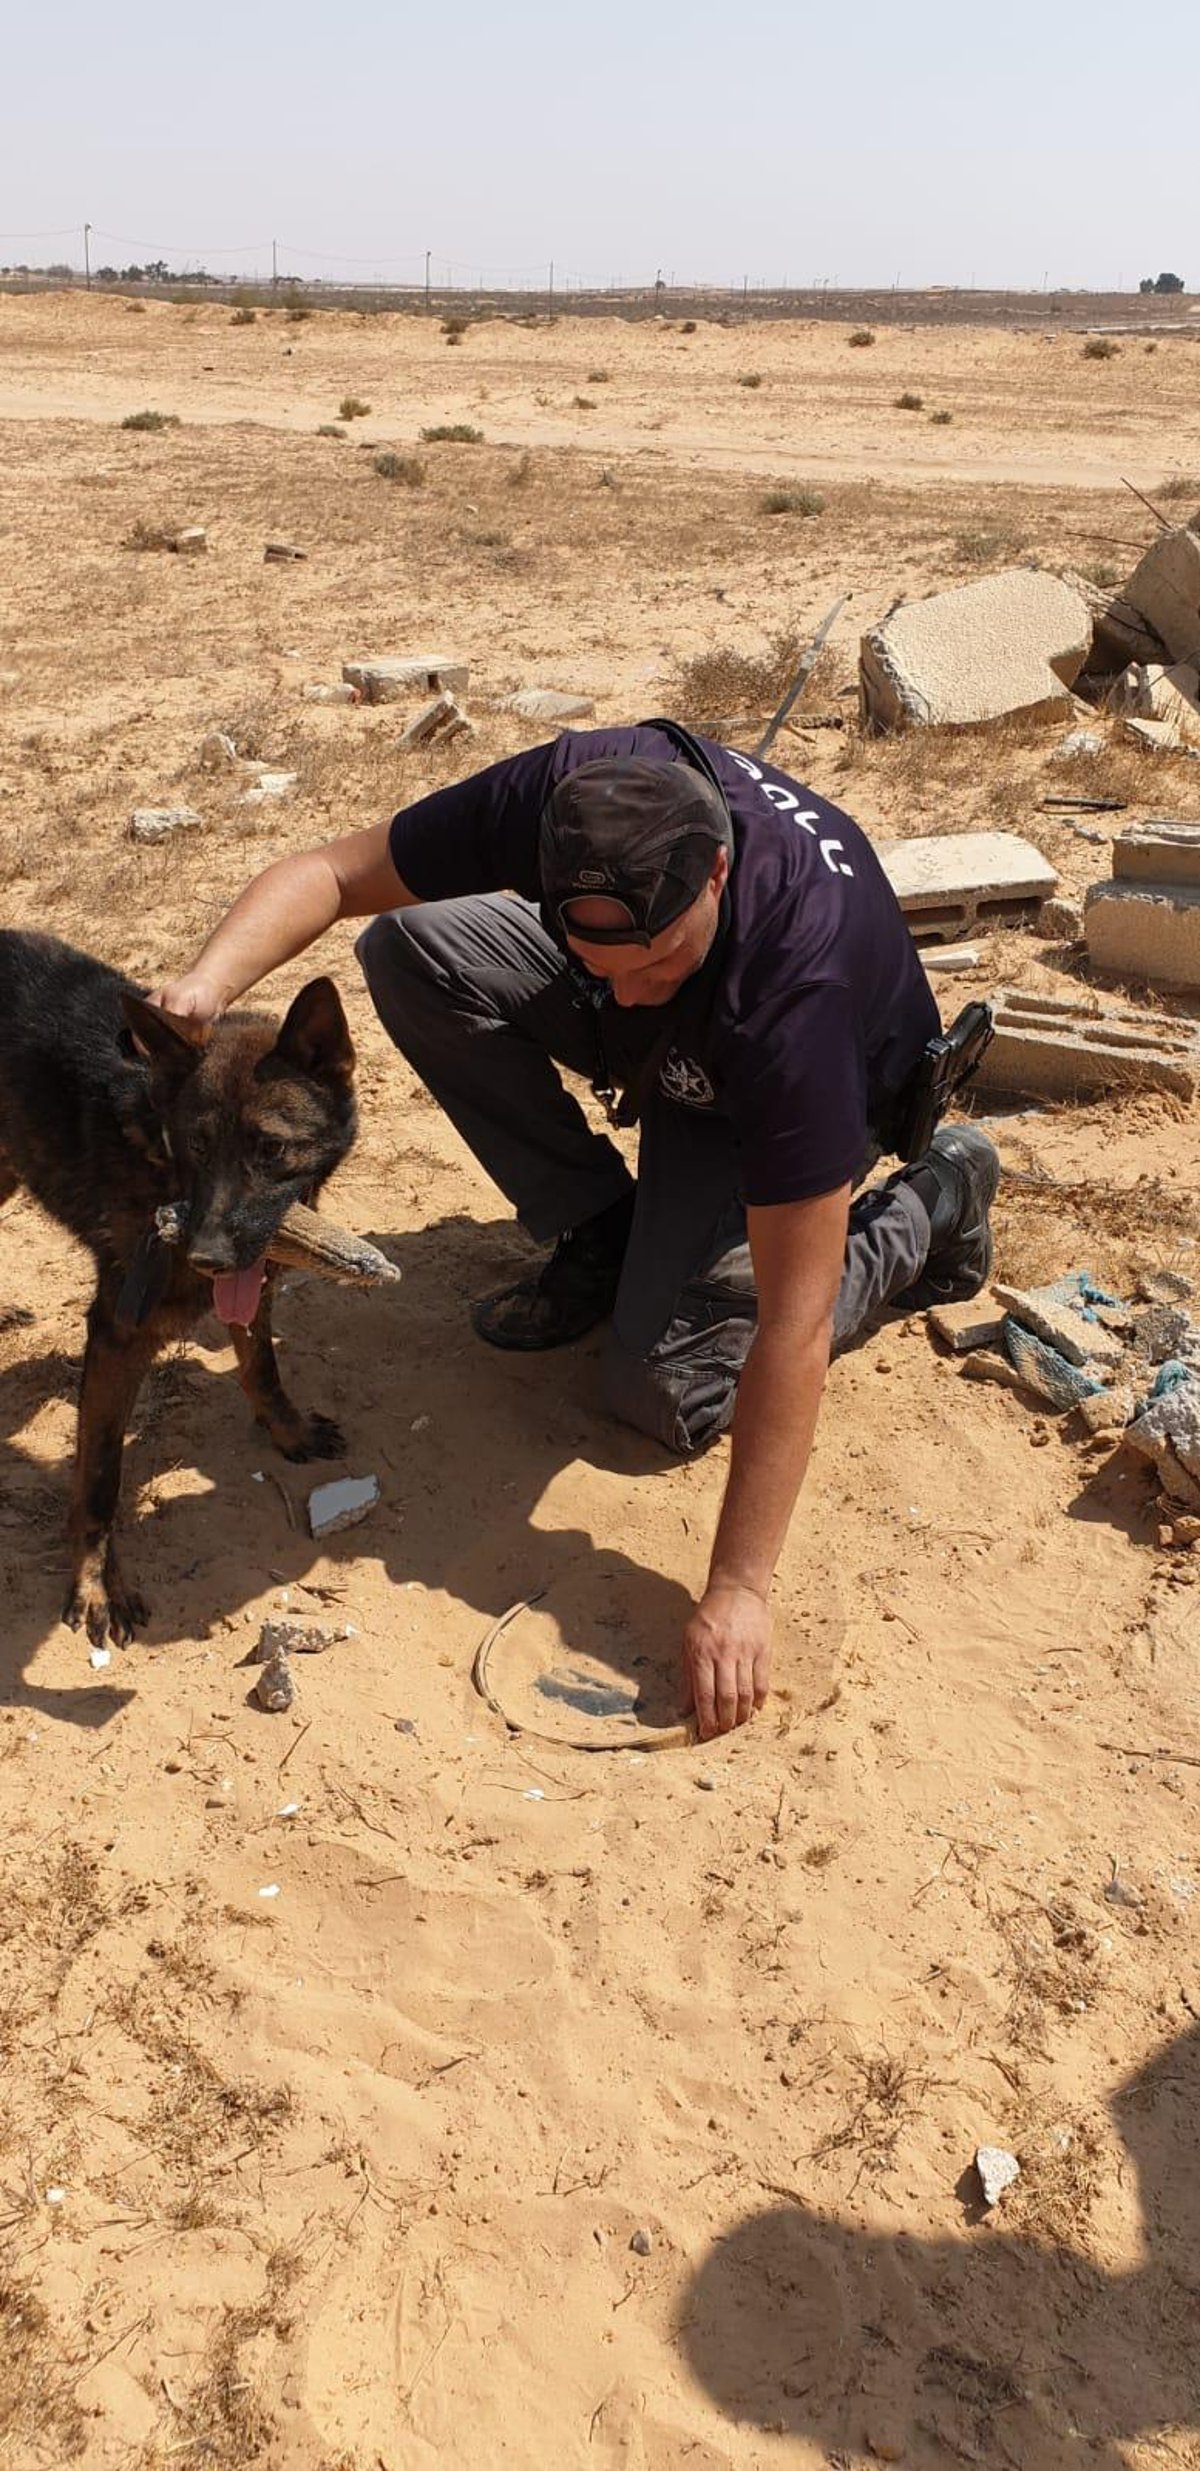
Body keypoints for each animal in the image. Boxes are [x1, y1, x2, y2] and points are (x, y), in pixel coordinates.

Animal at [0, 934, 355, 1650]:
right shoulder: (117, 1334)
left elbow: (261, 1367)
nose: (205, 1257)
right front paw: (95, 1584)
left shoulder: (253, 1278)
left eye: (271, 1148)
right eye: (196, 1143)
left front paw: (289, 1429)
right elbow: (99, 1477)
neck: (156, 1153)